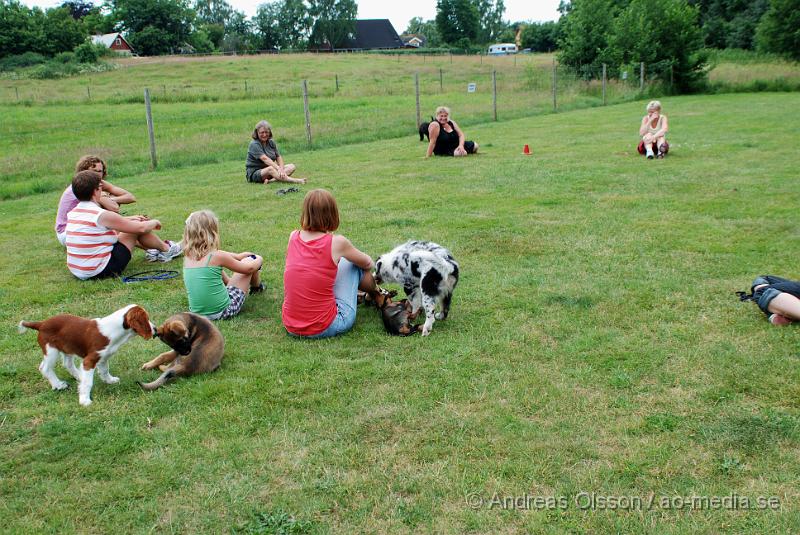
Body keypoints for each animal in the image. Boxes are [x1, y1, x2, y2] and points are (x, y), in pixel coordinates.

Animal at [18, 306, 155, 406]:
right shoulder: (90, 360)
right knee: (45, 368)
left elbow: (105, 370)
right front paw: (84, 400)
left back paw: (79, 376)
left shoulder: (103, 357)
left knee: (67, 364)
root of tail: (41, 324)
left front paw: (109, 380)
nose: (155, 330)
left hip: (67, 347)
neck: (114, 329)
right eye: (147, 318)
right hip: (51, 350)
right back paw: (58, 385)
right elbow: (88, 382)